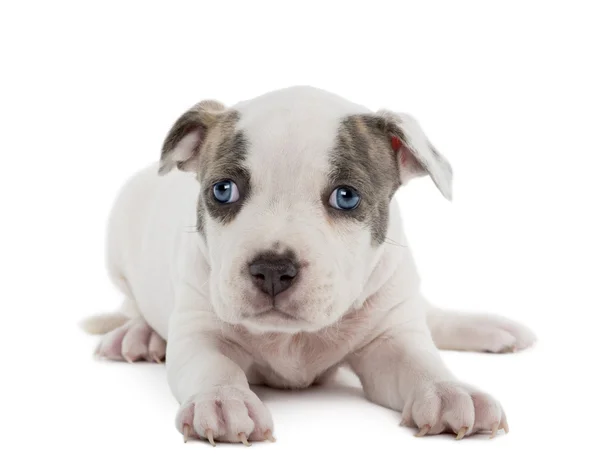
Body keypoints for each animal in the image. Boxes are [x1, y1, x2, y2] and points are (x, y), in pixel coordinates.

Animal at [83, 86, 536, 446]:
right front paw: (224, 400)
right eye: (223, 190)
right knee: (131, 304)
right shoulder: (200, 330)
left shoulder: (390, 341)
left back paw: (490, 328)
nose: (271, 269)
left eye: (346, 197)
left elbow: (420, 361)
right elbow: (213, 364)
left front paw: (449, 392)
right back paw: (138, 336)